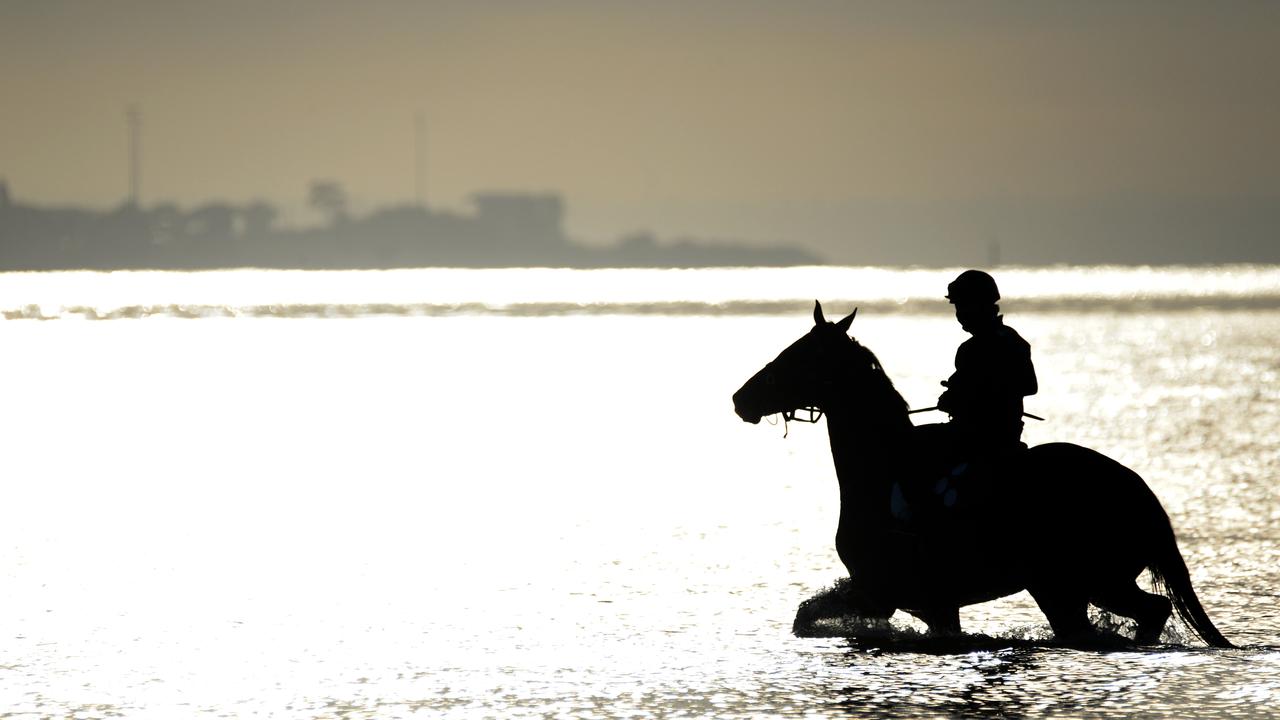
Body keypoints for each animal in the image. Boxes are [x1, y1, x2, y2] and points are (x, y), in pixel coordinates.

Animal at [737, 299, 1233, 648]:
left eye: (799, 356)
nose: (740, 399)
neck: (879, 468)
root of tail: (1139, 492)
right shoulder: (932, 603)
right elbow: (806, 613)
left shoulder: (884, 591)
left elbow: (807, 615)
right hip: (1075, 586)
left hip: (1084, 583)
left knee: (1147, 612)